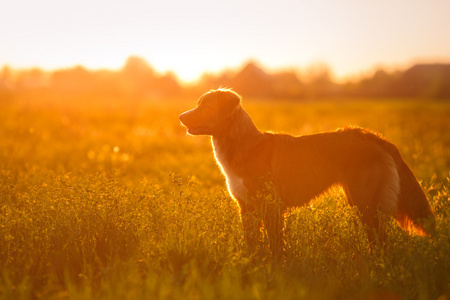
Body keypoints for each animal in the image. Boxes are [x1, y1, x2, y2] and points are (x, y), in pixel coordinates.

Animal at [179, 88, 436, 254]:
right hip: (359, 201)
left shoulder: (272, 208)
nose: (181, 116)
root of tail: (376, 137)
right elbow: (252, 244)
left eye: (206, 106)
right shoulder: (247, 208)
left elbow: (275, 246)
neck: (243, 145)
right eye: (198, 103)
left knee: (381, 242)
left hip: (367, 205)